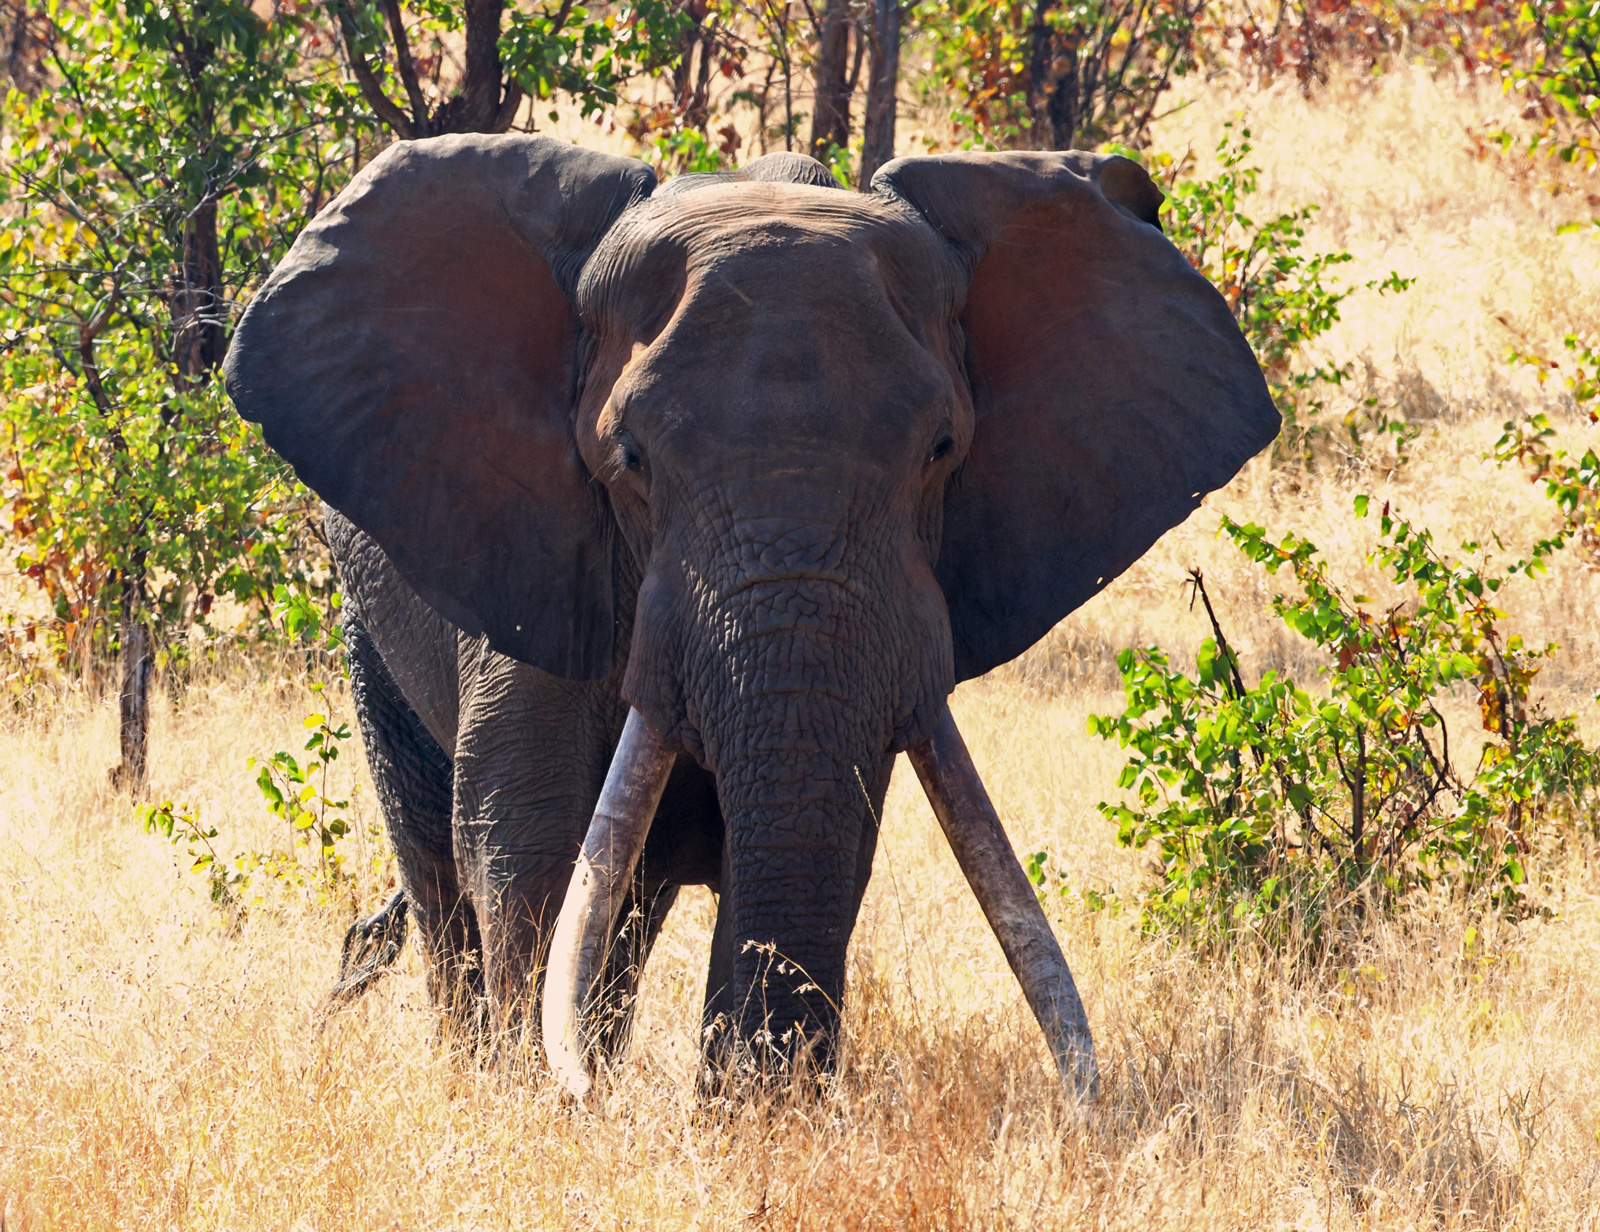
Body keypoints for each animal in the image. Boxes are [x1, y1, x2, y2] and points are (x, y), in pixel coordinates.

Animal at [222, 134, 1273, 1094]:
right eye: (631, 459)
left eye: (941, 450)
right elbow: (529, 841)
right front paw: (540, 1106)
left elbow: (824, 840)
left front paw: (747, 1123)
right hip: (369, 619)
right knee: (443, 867)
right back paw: (481, 1067)